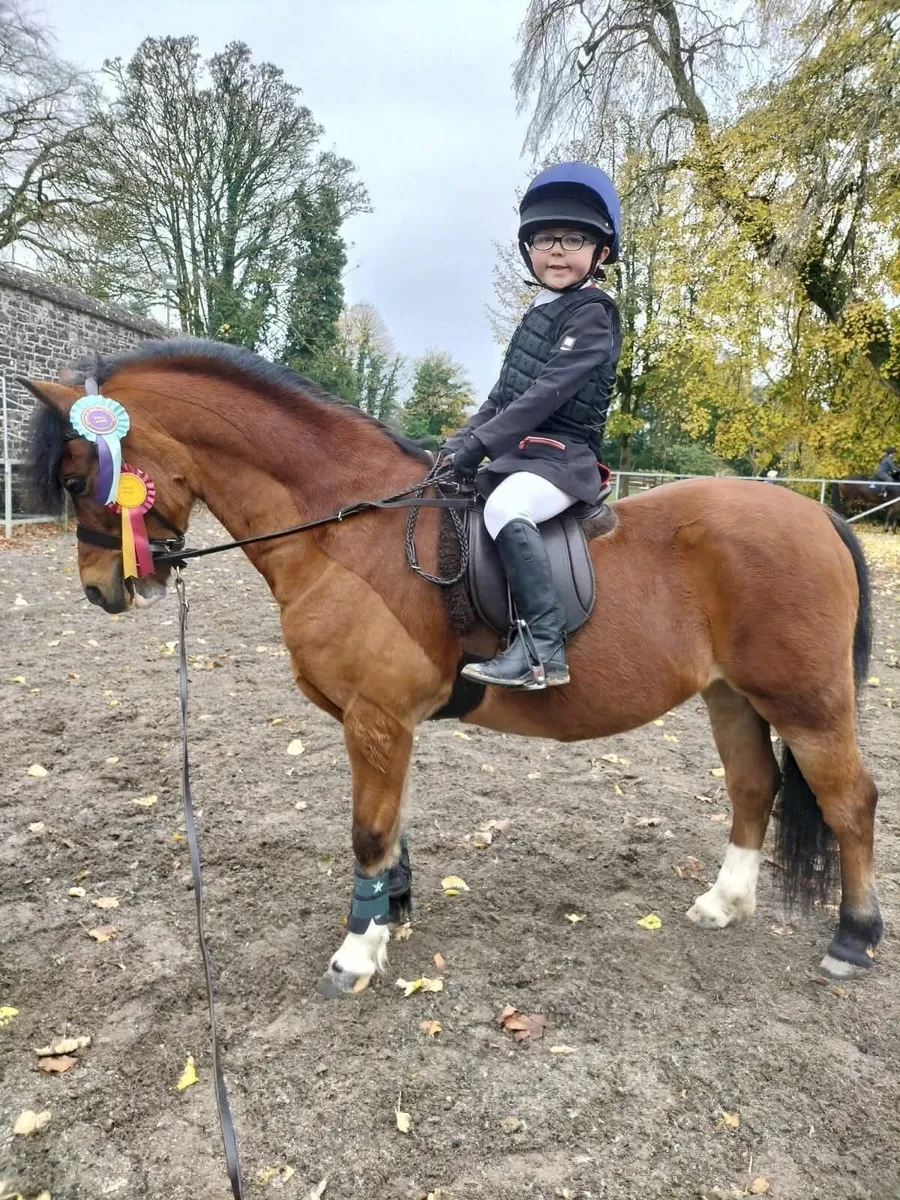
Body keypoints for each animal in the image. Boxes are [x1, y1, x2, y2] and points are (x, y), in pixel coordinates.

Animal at [23, 339, 883, 996]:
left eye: (77, 479)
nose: (99, 591)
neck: (343, 529)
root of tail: (818, 515)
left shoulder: (376, 718)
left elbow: (369, 830)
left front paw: (357, 954)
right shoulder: (379, 724)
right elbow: (392, 827)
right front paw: (390, 913)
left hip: (806, 702)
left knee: (850, 801)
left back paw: (854, 937)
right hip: (731, 695)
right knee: (754, 787)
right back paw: (725, 902)